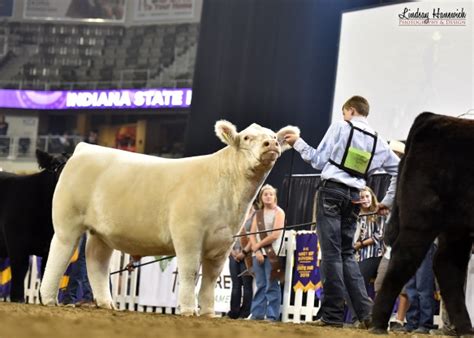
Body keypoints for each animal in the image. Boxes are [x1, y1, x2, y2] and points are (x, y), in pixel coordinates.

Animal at [0, 150, 67, 302]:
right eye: (53, 165)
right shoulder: (16, 243)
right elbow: (20, 269)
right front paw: (18, 299)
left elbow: (47, 271)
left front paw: (47, 300)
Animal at [374, 111, 474, 336]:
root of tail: (433, 117)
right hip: (421, 219)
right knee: (404, 257)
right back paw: (377, 323)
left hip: (457, 227)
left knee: (447, 264)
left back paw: (465, 328)